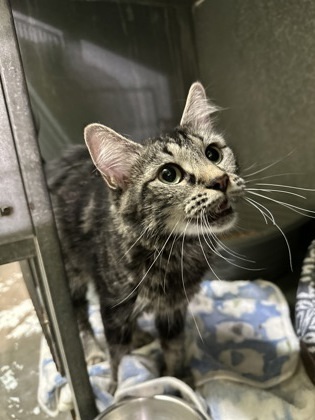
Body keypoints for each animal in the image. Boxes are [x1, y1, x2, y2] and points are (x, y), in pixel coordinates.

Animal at [47, 82, 246, 390]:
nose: (220, 180)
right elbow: (117, 354)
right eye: (169, 175)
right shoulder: (113, 305)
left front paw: (179, 380)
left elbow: (174, 347)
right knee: (81, 316)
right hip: (73, 275)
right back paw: (93, 351)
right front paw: (117, 387)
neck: (177, 250)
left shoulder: (173, 308)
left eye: (213, 154)